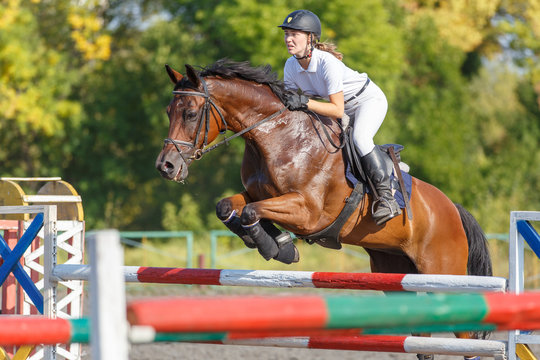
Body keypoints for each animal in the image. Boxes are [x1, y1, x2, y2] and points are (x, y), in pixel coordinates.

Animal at [156, 59, 494, 358]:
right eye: (168, 112)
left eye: (190, 113)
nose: (166, 167)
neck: (276, 136)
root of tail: (453, 209)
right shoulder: (256, 194)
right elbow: (227, 206)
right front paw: (274, 243)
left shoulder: (307, 212)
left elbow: (253, 211)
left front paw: (278, 247)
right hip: (394, 270)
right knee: (422, 336)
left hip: (444, 275)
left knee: (469, 339)